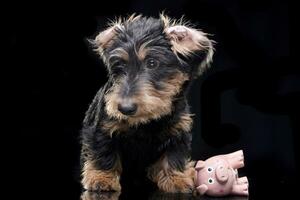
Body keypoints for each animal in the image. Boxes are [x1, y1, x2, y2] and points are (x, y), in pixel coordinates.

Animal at [80, 13, 213, 192]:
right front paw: (102, 178)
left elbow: (174, 154)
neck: (146, 121)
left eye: (152, 63)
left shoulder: (179, 130)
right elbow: (103, 151)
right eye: (119, 65)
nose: (124, 108)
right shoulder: (102, 128)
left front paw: (176, 178)